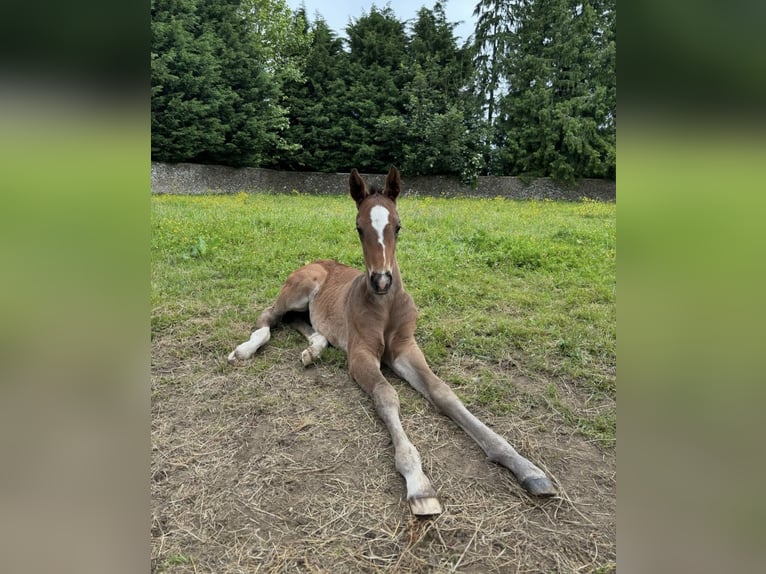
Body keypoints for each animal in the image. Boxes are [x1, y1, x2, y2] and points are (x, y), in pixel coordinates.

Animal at [228, 166, 560, 516]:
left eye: (398, 226)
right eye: (359, 227)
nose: (382, 281)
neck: (385, 306)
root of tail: (317, 261)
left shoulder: (405, 349)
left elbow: (444, 393)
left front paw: (525, 466)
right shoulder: (361, 354)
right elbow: (386, 395)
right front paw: (418, 483)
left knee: (303, 325)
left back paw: (312, 351)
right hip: (299, 289)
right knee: (270, 316)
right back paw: (245, 350)